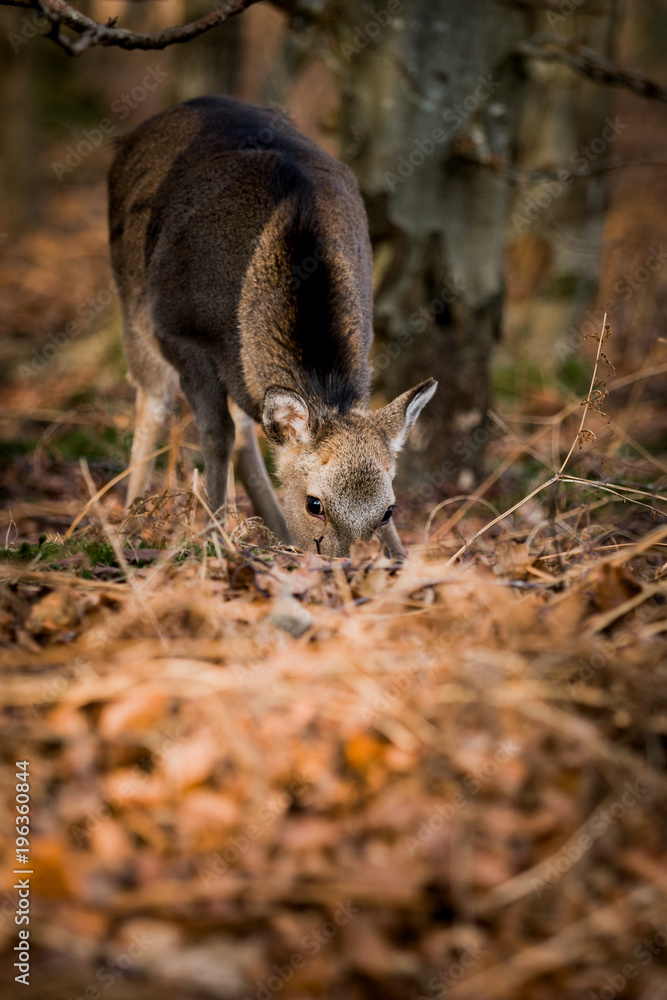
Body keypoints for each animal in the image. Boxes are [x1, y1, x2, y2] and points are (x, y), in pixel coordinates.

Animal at [108, 96, 437, 558]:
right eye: (314, 504)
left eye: (389, 509)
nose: (355, 564)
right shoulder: (181, 334)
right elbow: (216, 436)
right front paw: (214, 543)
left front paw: (401, 557)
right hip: (132, 305)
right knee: (154, 402)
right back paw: (126, 527)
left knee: (247, 427)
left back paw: (276, 534)